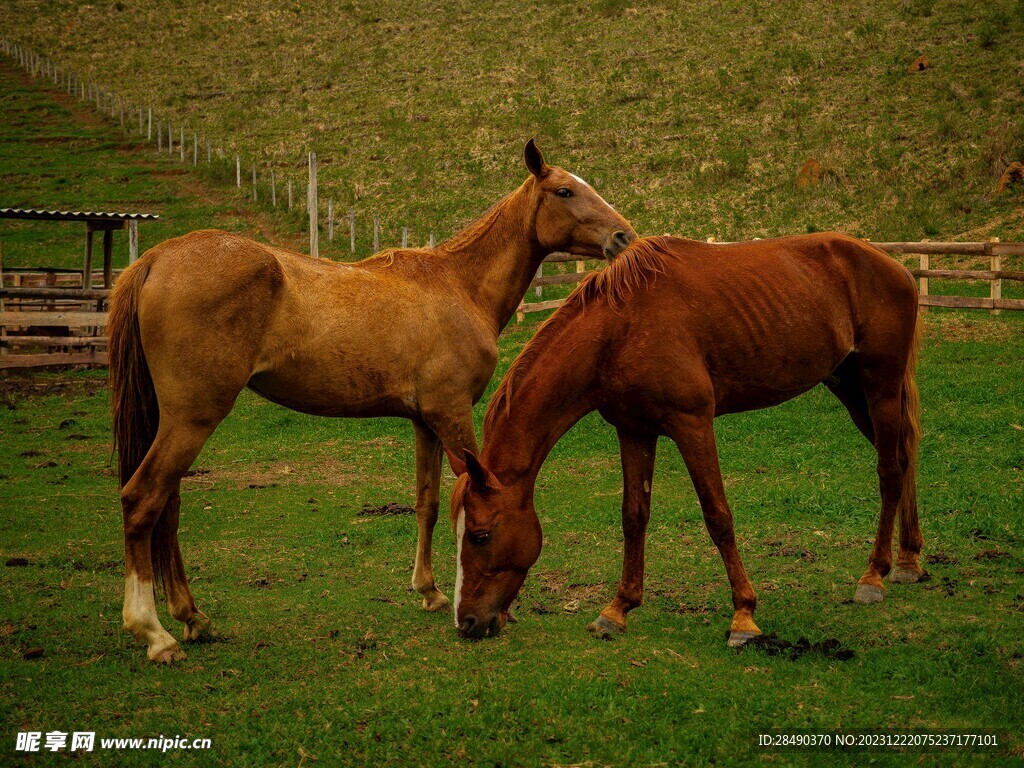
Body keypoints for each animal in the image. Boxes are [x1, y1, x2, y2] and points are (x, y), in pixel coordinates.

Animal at [103, 143, 630, 663]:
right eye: (565, 191)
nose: (623, 235)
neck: (457, 285)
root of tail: (156, 259)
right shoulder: (453, 415)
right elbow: (469, 500)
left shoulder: (425, 421)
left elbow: (428, 502)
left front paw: (429, 590)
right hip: (192, 419)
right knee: (143, 498)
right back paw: (154, 632)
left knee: (167, 505)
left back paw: (192, 616)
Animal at [452, 234, 925, 651]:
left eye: (480, 535)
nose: (468, 622)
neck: (620, 329)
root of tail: (894, 265)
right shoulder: (635, 430)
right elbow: (634, 516)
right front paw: (617, 609)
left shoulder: (692, 423)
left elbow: (718, 516)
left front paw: (744, 616)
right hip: (849, 387)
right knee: (903, 459)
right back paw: (908, 561)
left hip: (880, 387)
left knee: (889, 469)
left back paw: (873, 576)